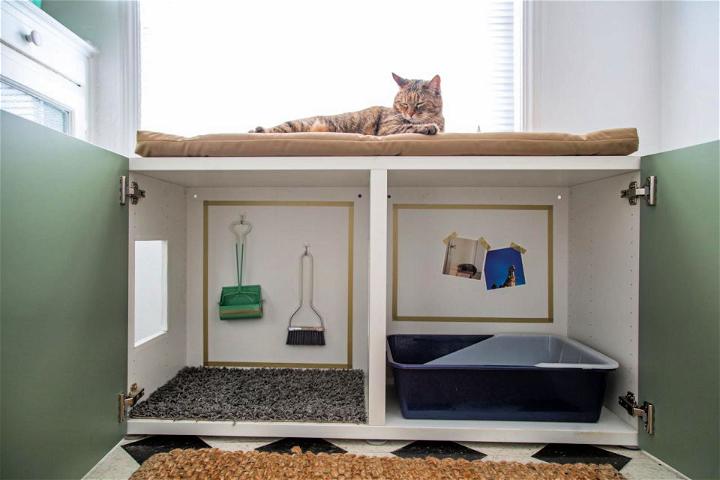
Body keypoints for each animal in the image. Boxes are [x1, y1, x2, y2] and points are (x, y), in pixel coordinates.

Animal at [253, 73, 444, 137]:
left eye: (419, 104)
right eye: (403, 103)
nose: (409, 114)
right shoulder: (388, 129)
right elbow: (408, 127)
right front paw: (428, 127)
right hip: (296, 125)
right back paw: (257, 130)